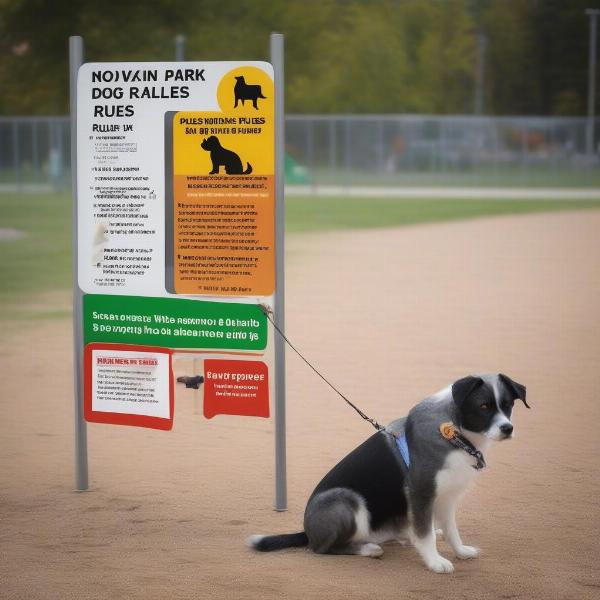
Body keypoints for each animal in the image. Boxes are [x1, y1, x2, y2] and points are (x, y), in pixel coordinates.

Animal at [246, 372, 528, 576]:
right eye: (484, 406)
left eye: (507, 405)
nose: (508, 428)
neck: (454, 432)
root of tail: (307, 530)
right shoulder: (421, 491)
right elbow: (425, 534)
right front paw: (435, 561)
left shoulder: (447, 496)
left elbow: (450, 529)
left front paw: (459, 551)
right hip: (346, 500)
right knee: (323, 548)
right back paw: (368, 549)